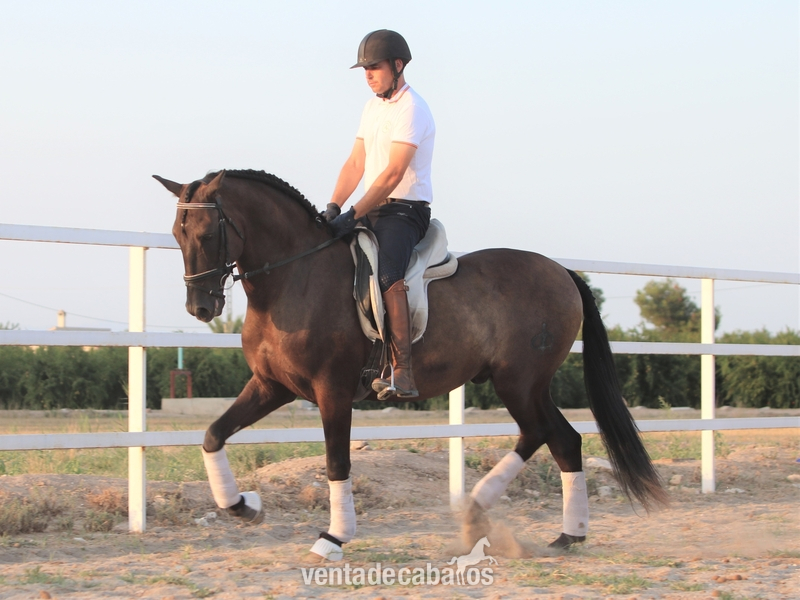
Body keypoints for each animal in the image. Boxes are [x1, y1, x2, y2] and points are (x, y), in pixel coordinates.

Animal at [154, 169, 668, 561]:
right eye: (178, 235)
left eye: (206, 234)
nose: (200, 308)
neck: (293, 278)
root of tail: (560, 270)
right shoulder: (271, 385)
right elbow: (213, 434)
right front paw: (243, 506)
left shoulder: (331, 391)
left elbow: (336, 462)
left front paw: (333, 538)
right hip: (527, 384)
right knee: (561, 439)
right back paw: (563, 533)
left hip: (519, 381)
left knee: (543, 433)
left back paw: (486, 513)